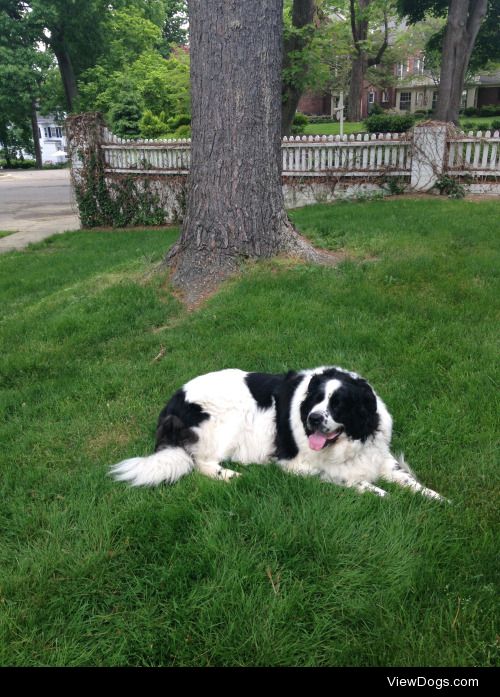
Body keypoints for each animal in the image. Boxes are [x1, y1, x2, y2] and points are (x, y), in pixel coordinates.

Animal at [110, 368, 446, 498]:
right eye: (316, 399)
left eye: (339, 404)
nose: (313, 418)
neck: (350, 440)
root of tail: (172, 403)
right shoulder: (298, 465)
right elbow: (352, 480)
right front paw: (381, 494)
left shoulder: (379, 455)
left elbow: (408, 479)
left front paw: (436, 497)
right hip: (229, 422)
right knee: (200, 463)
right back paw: (231, 475)